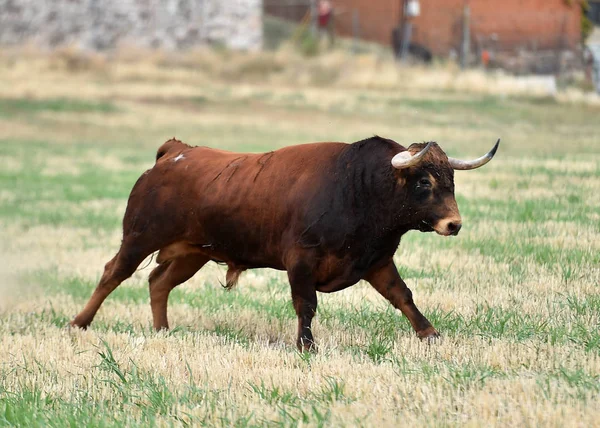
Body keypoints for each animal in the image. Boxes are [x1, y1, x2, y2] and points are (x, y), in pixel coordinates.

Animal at [71, 135, 502, 350]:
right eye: (424, 182)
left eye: (451, 180)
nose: (454, 224)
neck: (357, 187)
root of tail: (174, 153)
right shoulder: (301, 260)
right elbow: (305, 304)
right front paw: (306, 346)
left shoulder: (376, 261)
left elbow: (403, 296)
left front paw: (430, 334)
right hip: (139, 237)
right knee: (112, 274)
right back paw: (79, 322)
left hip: (191, 254)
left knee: (158, 283)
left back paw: (162, 331)